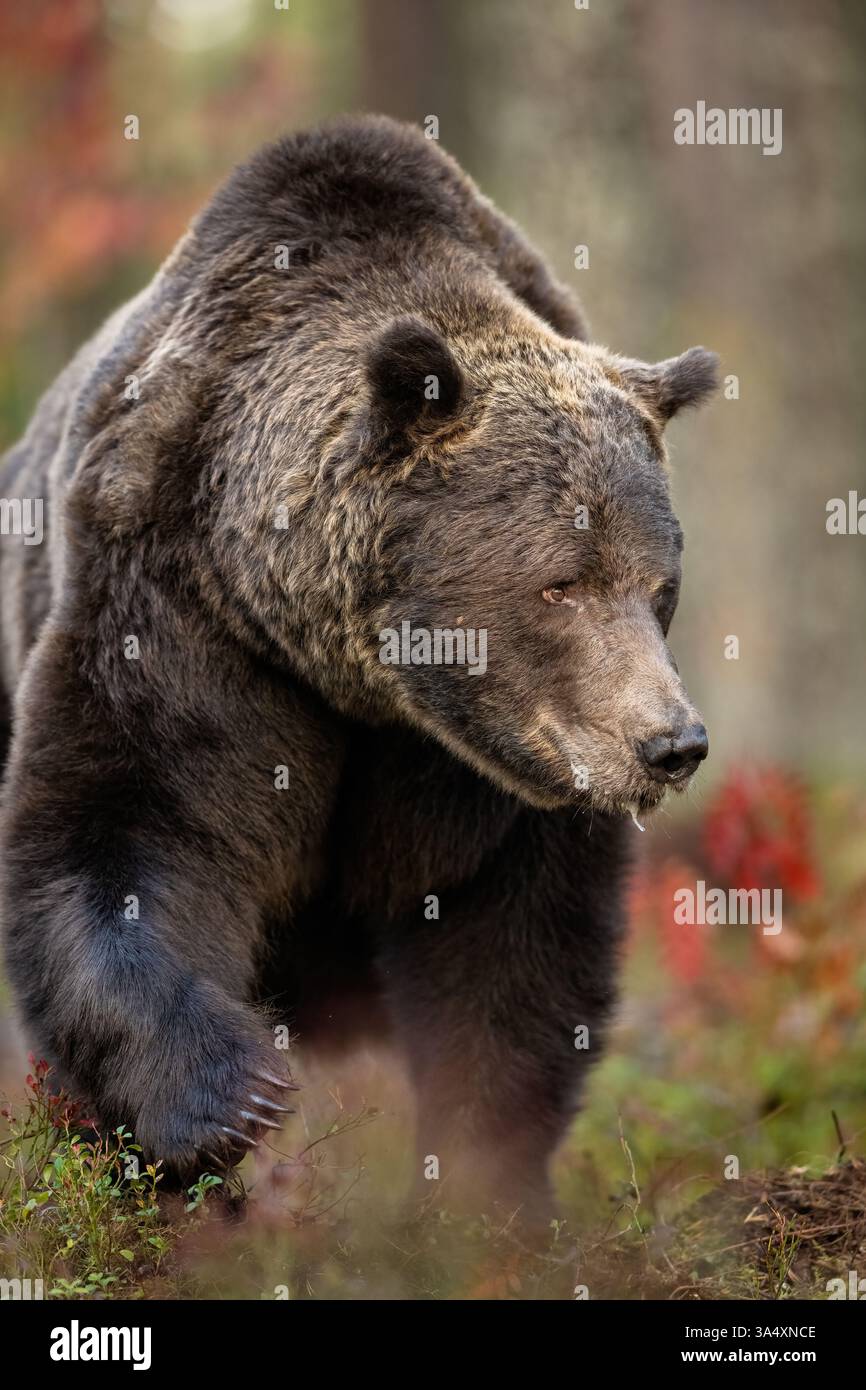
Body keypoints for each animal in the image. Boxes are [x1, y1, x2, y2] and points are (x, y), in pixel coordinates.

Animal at [0, 116, 717, 1219]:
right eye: (561, 583)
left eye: (659, 582)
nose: (669, 743)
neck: (362, 678)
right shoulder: (175, 600)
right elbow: (124, 825)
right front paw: (230, 1100)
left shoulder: (486, 772)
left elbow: (510, 945)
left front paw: (483, 1183)